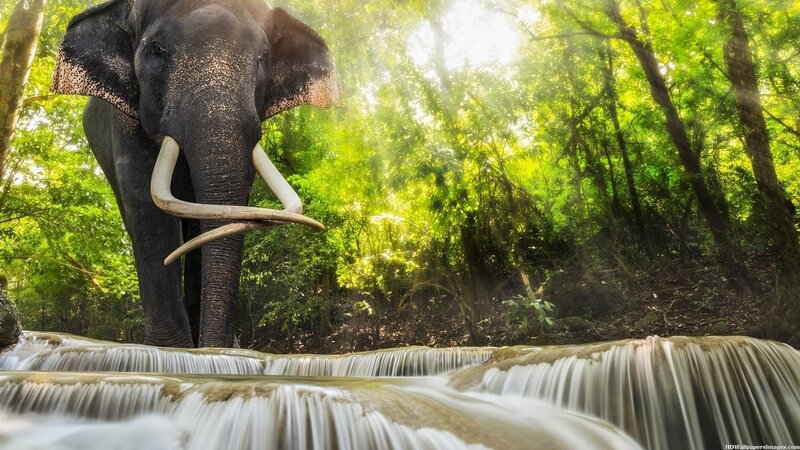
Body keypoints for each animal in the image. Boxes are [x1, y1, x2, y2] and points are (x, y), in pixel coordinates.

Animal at [52, 0, 339, 347]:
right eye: (157, 49)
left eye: (263, 59)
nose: (220, 345)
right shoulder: (124, 119)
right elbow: (144, 204)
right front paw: (171, 351)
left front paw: (215, 349)